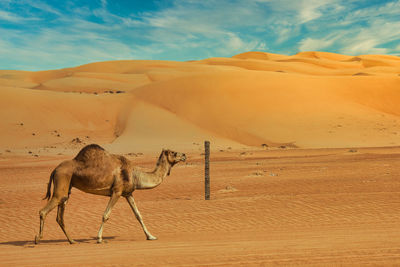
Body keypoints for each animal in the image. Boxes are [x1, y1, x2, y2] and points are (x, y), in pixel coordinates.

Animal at [34, 144, 186, 245]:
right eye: (174, 152)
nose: (184, 155)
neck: (135, 174)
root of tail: (55, 169)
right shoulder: (116, 191)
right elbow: (106, 215)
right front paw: (99, 238)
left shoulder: (128, 193)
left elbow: (138, 215)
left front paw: (151, 236)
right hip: (62, 181)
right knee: (44, 210)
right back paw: (37, 239)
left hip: (67, 188)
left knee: (60, 215)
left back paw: (72, 240)